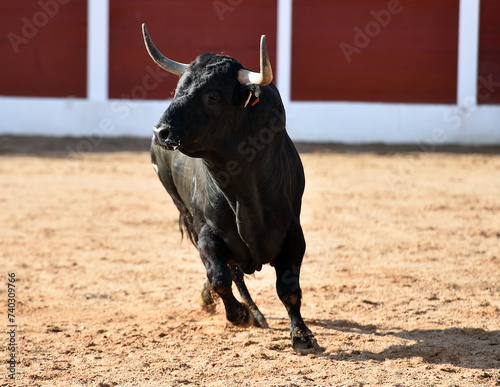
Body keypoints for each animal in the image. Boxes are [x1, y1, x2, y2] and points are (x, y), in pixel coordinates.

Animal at [144, 23, 316, 352]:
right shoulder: (207, 231)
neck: (244, 190)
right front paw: (239, 315)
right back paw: (252, 313)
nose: (161, 131)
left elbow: (288, 288)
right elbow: (220, 276)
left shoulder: (293, 233)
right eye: (178, 89)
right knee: (231, 272)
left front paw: (301, 333)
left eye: (212, 96)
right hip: (182, 209)